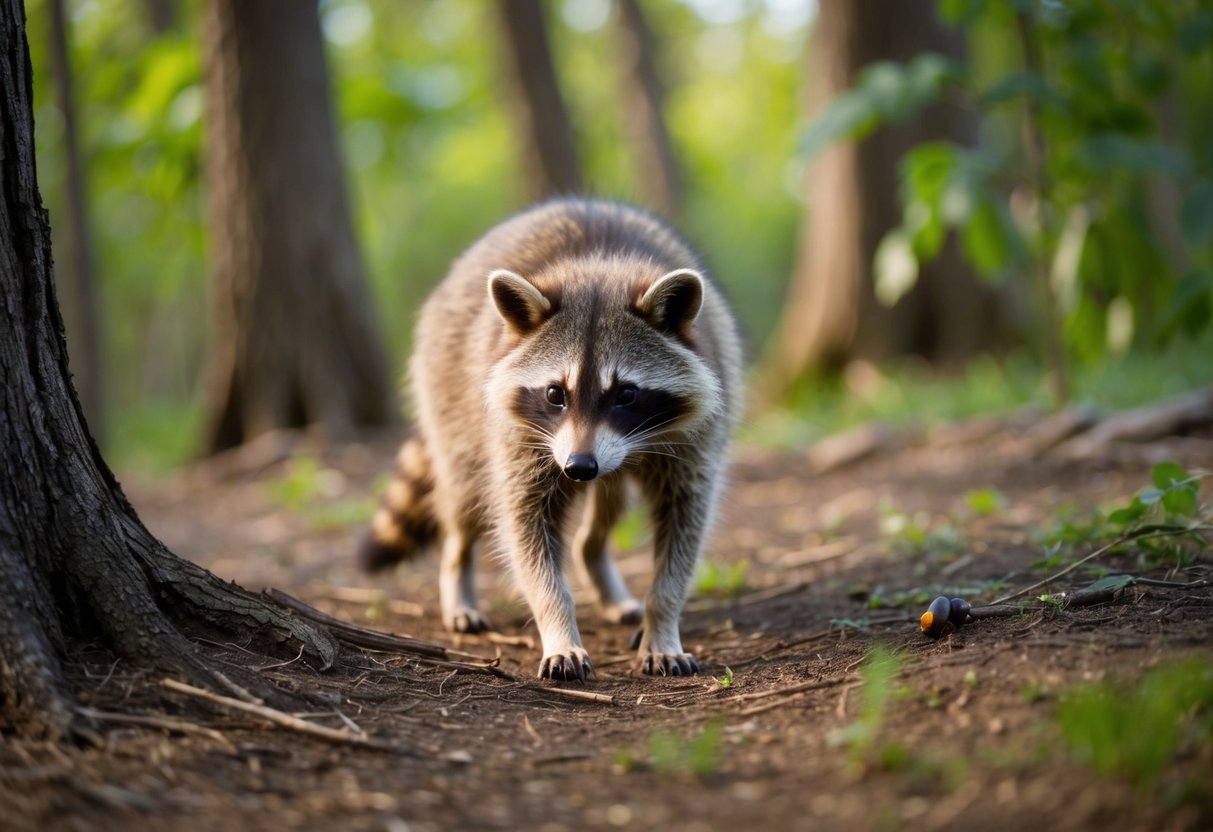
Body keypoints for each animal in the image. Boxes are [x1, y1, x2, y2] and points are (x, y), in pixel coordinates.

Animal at [359, 198, 743, 681]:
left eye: (627, 394)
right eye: (555, 393)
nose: (580, 467)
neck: (600, 267)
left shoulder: (695, 439)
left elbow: (686, 523)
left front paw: (663, 619)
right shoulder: (521, 439)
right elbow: (525, 528)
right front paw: (558, 625)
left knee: (606, 512)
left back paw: (596, 561)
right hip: (451, 397)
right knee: (463, 502)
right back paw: (457, 572)